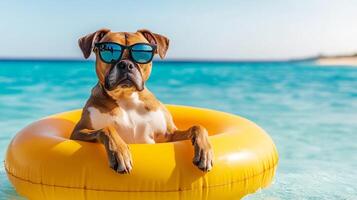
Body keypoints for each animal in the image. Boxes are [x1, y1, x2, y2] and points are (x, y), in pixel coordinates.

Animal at [71, 28, 213, 173]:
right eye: (109, 50)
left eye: (141, 52)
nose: (126, 64)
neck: (126, 98)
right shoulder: (78, 131)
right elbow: (106, 129)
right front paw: (119, 152)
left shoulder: (169, 135)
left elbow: (197, 127)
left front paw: (205, 151)